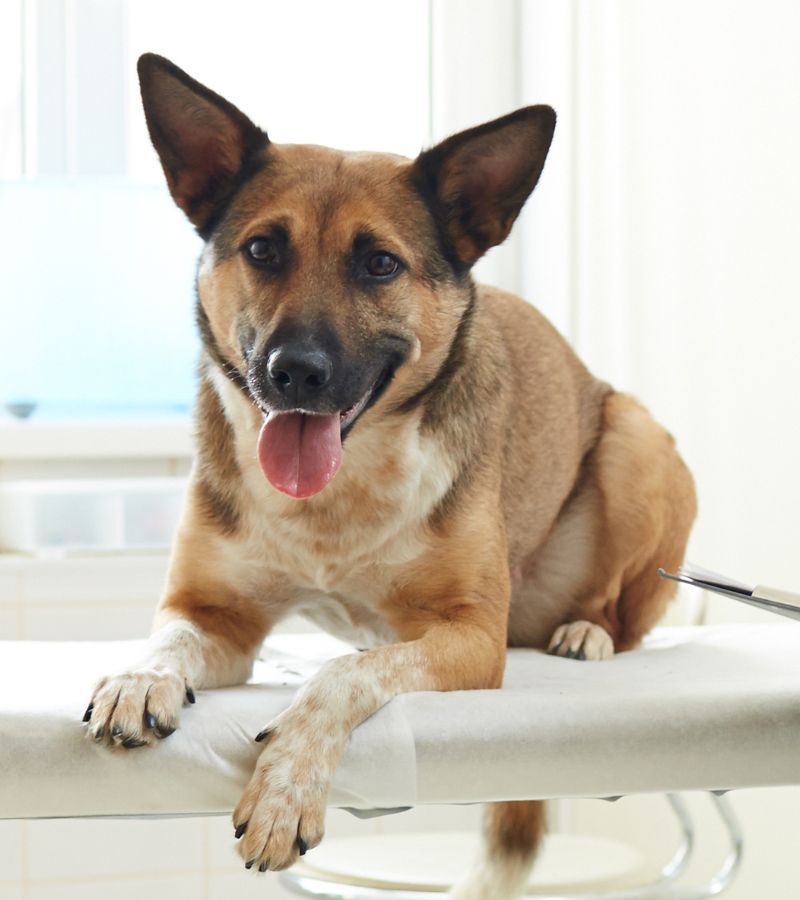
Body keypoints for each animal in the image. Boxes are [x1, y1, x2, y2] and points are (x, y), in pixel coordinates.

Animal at [81, 52, 692, 896]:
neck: (339, 493)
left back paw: (586, 633)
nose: (294, 374)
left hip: (634, 444)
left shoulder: (472, 639)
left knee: (625, 617)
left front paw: (287, 788)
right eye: (263, 250)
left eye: (379, 264)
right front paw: (137, 678)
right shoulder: (216, 618)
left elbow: (345, 673)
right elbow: (168, 639)